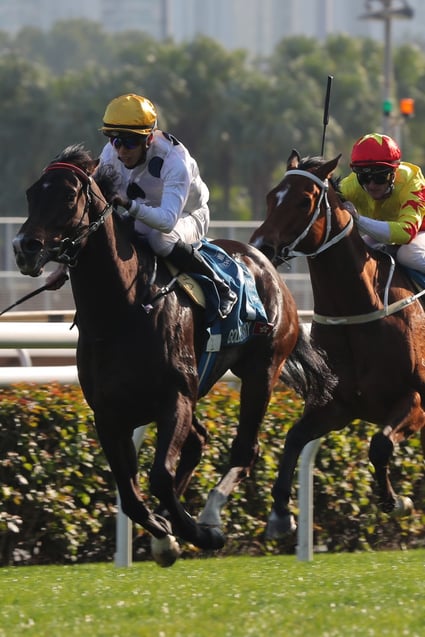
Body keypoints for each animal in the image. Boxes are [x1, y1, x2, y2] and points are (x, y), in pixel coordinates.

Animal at [12, 145, 332, 568]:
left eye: (67, 196)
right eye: (31, 193)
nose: (24, 247)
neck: (122, 311)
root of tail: (262, 259)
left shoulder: (175, 399)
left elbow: (159, 477)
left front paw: (199, 534)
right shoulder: (108, 414)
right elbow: (129, 493)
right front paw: (165, 534)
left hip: (262, 370)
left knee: (245, 449)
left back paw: (214, 517)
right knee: (199, 440)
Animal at [250, 152, 424, 540]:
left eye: (304, 201)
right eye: (270, 196)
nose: (262, 246)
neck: (359, 310)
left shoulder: (417, 400)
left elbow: (380, 445)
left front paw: (397, 501)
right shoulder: (338, 406)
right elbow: (293, 439)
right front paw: (280, 514)